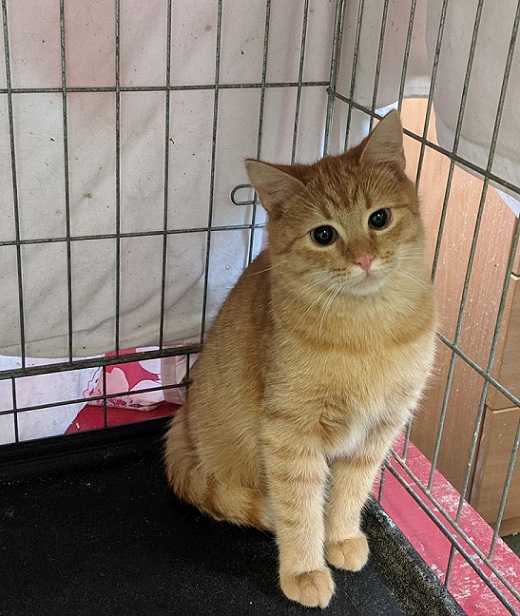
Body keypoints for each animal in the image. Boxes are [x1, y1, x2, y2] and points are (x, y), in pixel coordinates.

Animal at [163, 110, 437, 609]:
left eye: (380, 218)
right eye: (323, 235)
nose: (364, 258)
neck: (367, 331)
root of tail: (183, 419)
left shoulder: (379, 429)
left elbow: (350, 492)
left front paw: (340, 536)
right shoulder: (290, 435)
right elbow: (300, 509)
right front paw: (305, 568)